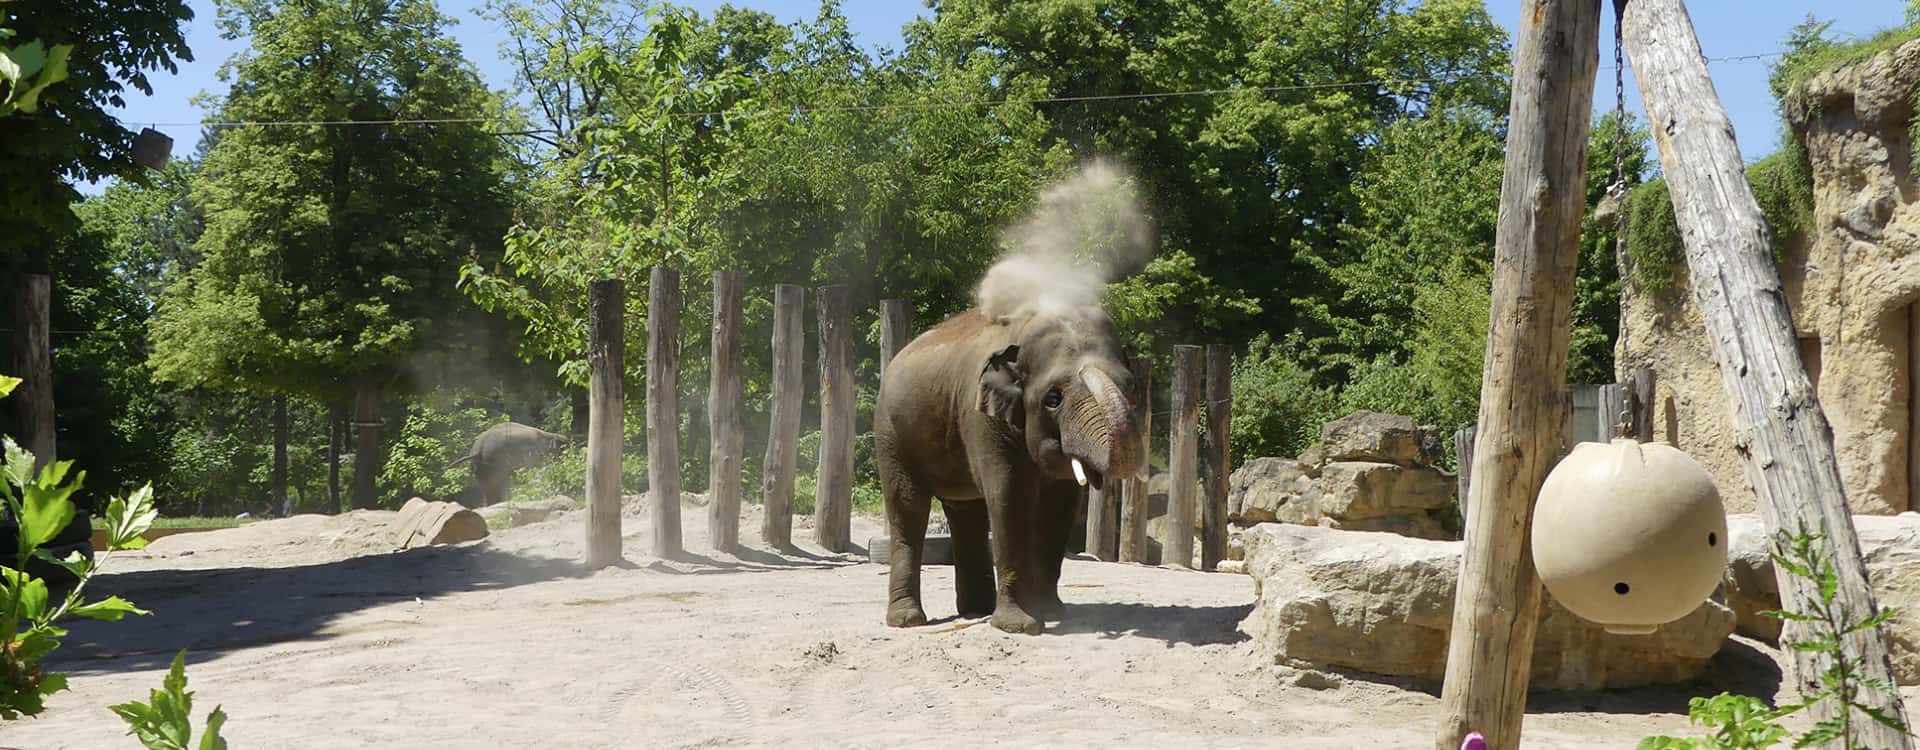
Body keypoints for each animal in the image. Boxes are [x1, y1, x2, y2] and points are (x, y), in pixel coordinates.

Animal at [879, 301, 1144, 632]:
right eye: (1053, 398)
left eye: (1131, 387)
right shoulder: (983, 418)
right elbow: (1009, 495)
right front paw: (1020, 626)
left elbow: (1059, 506)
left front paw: (1051, 613)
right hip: (892, 436)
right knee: (908, 506)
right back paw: (909, 620)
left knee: (966, 512)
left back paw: (977, 610)